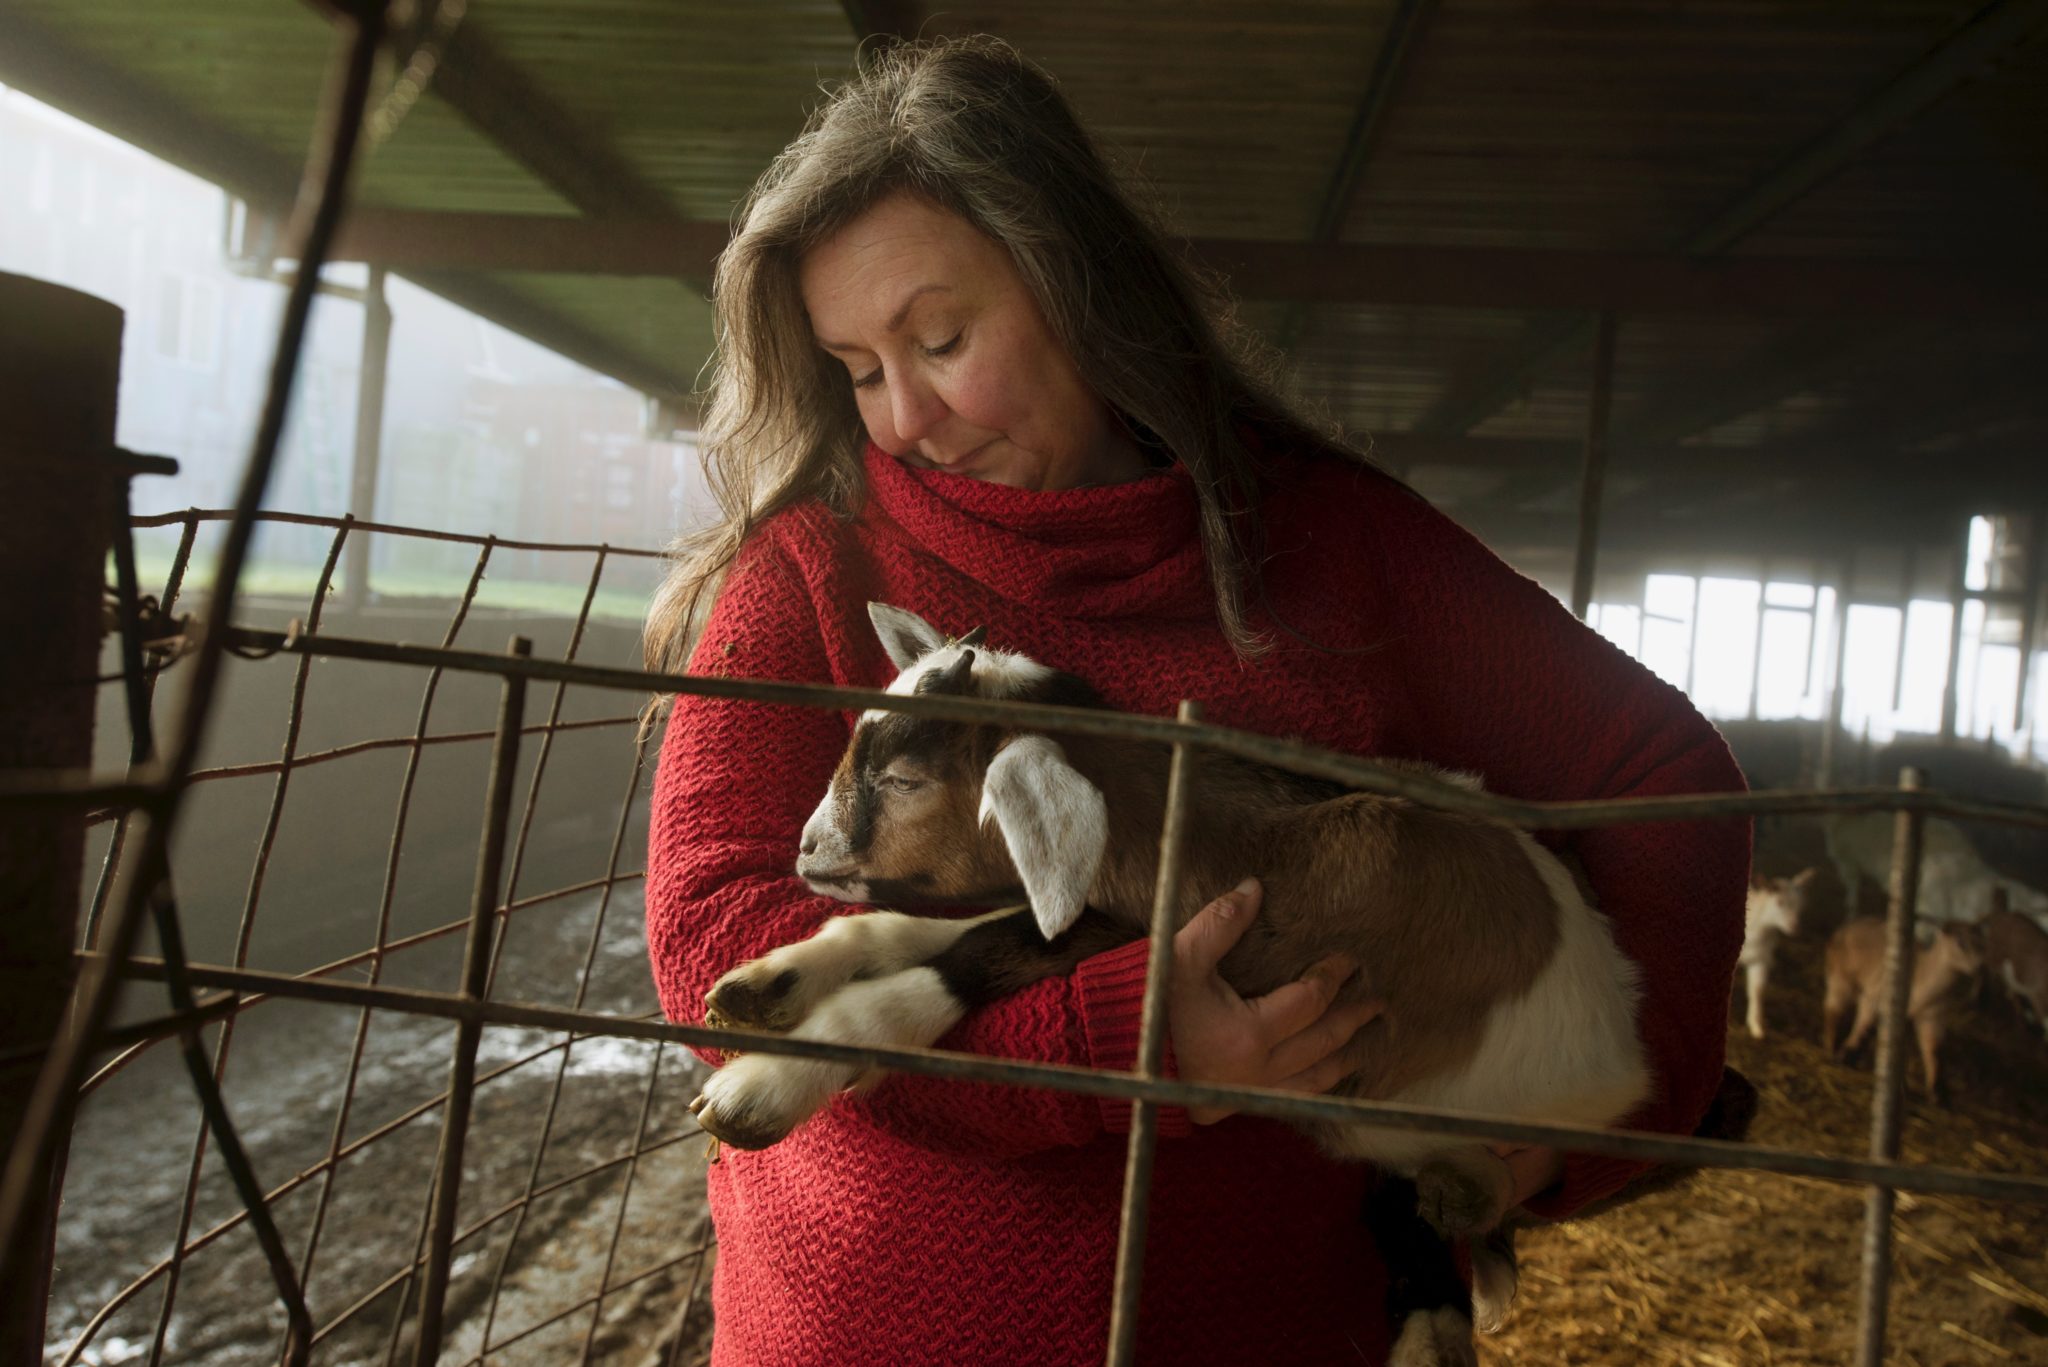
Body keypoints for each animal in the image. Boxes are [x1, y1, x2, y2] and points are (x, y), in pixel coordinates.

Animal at [688, 606, 1646, 1367]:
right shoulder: (1089, 904)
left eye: (903, 779)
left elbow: (978, 952)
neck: (1211, 824)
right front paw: (769, 985)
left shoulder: (1228, 941)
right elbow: (926, 929)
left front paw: (769, 1080)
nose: (808, 850)